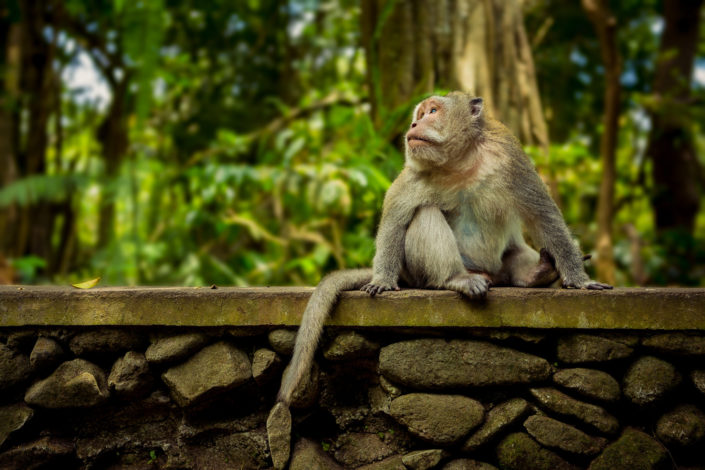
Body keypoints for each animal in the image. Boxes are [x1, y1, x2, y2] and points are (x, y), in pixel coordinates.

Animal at [266, 91, 608, 466]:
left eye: (432, 111)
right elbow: (397, 216)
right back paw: (456, 279)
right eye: (419, 114)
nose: (415, 123)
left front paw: (578, 279)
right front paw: (382, 279)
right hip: (418, 270)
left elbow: (544, 216)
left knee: (515, 253)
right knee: (425, 214)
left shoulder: (509, 156)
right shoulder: (415, 174)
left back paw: (538, 273)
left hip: (502, 263)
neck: (460, 163)